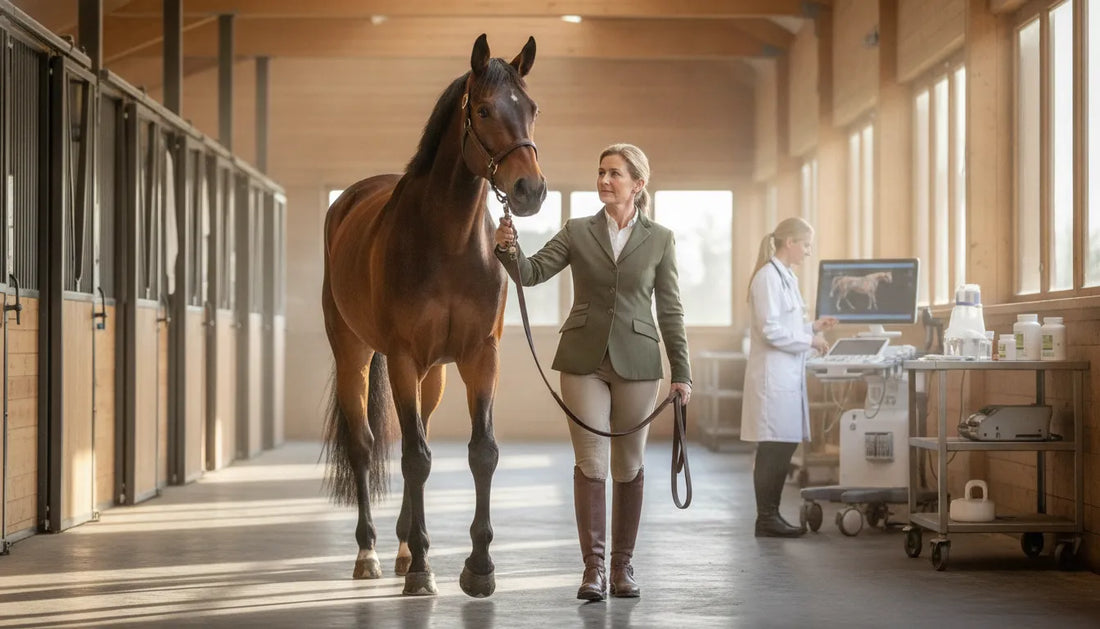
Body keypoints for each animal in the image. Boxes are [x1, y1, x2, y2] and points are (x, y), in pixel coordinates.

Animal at [320, 34, 546, 598]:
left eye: (532, 108)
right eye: (483, 109)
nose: (531, 190)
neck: (448, 241)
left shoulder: (479, 357)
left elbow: (480, 452)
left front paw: (479, 567)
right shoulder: (402, 357)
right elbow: (415, 457)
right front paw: (425, 568)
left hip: (434, 375)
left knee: (412, 434)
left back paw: (403, 549)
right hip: (355, 354)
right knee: (365, 446)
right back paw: (371, 553)